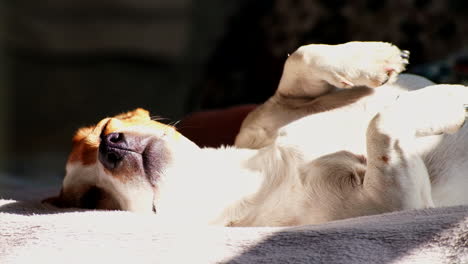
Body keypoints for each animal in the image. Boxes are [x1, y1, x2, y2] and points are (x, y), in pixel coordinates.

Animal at [45, 41, 468, 227]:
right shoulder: (397, 201)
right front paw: (449, 100)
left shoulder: (268, 114)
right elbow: (379, 127)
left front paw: (374, 58)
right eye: (92, 200)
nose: (111, 147)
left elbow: (301, 55)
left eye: (105, 129)